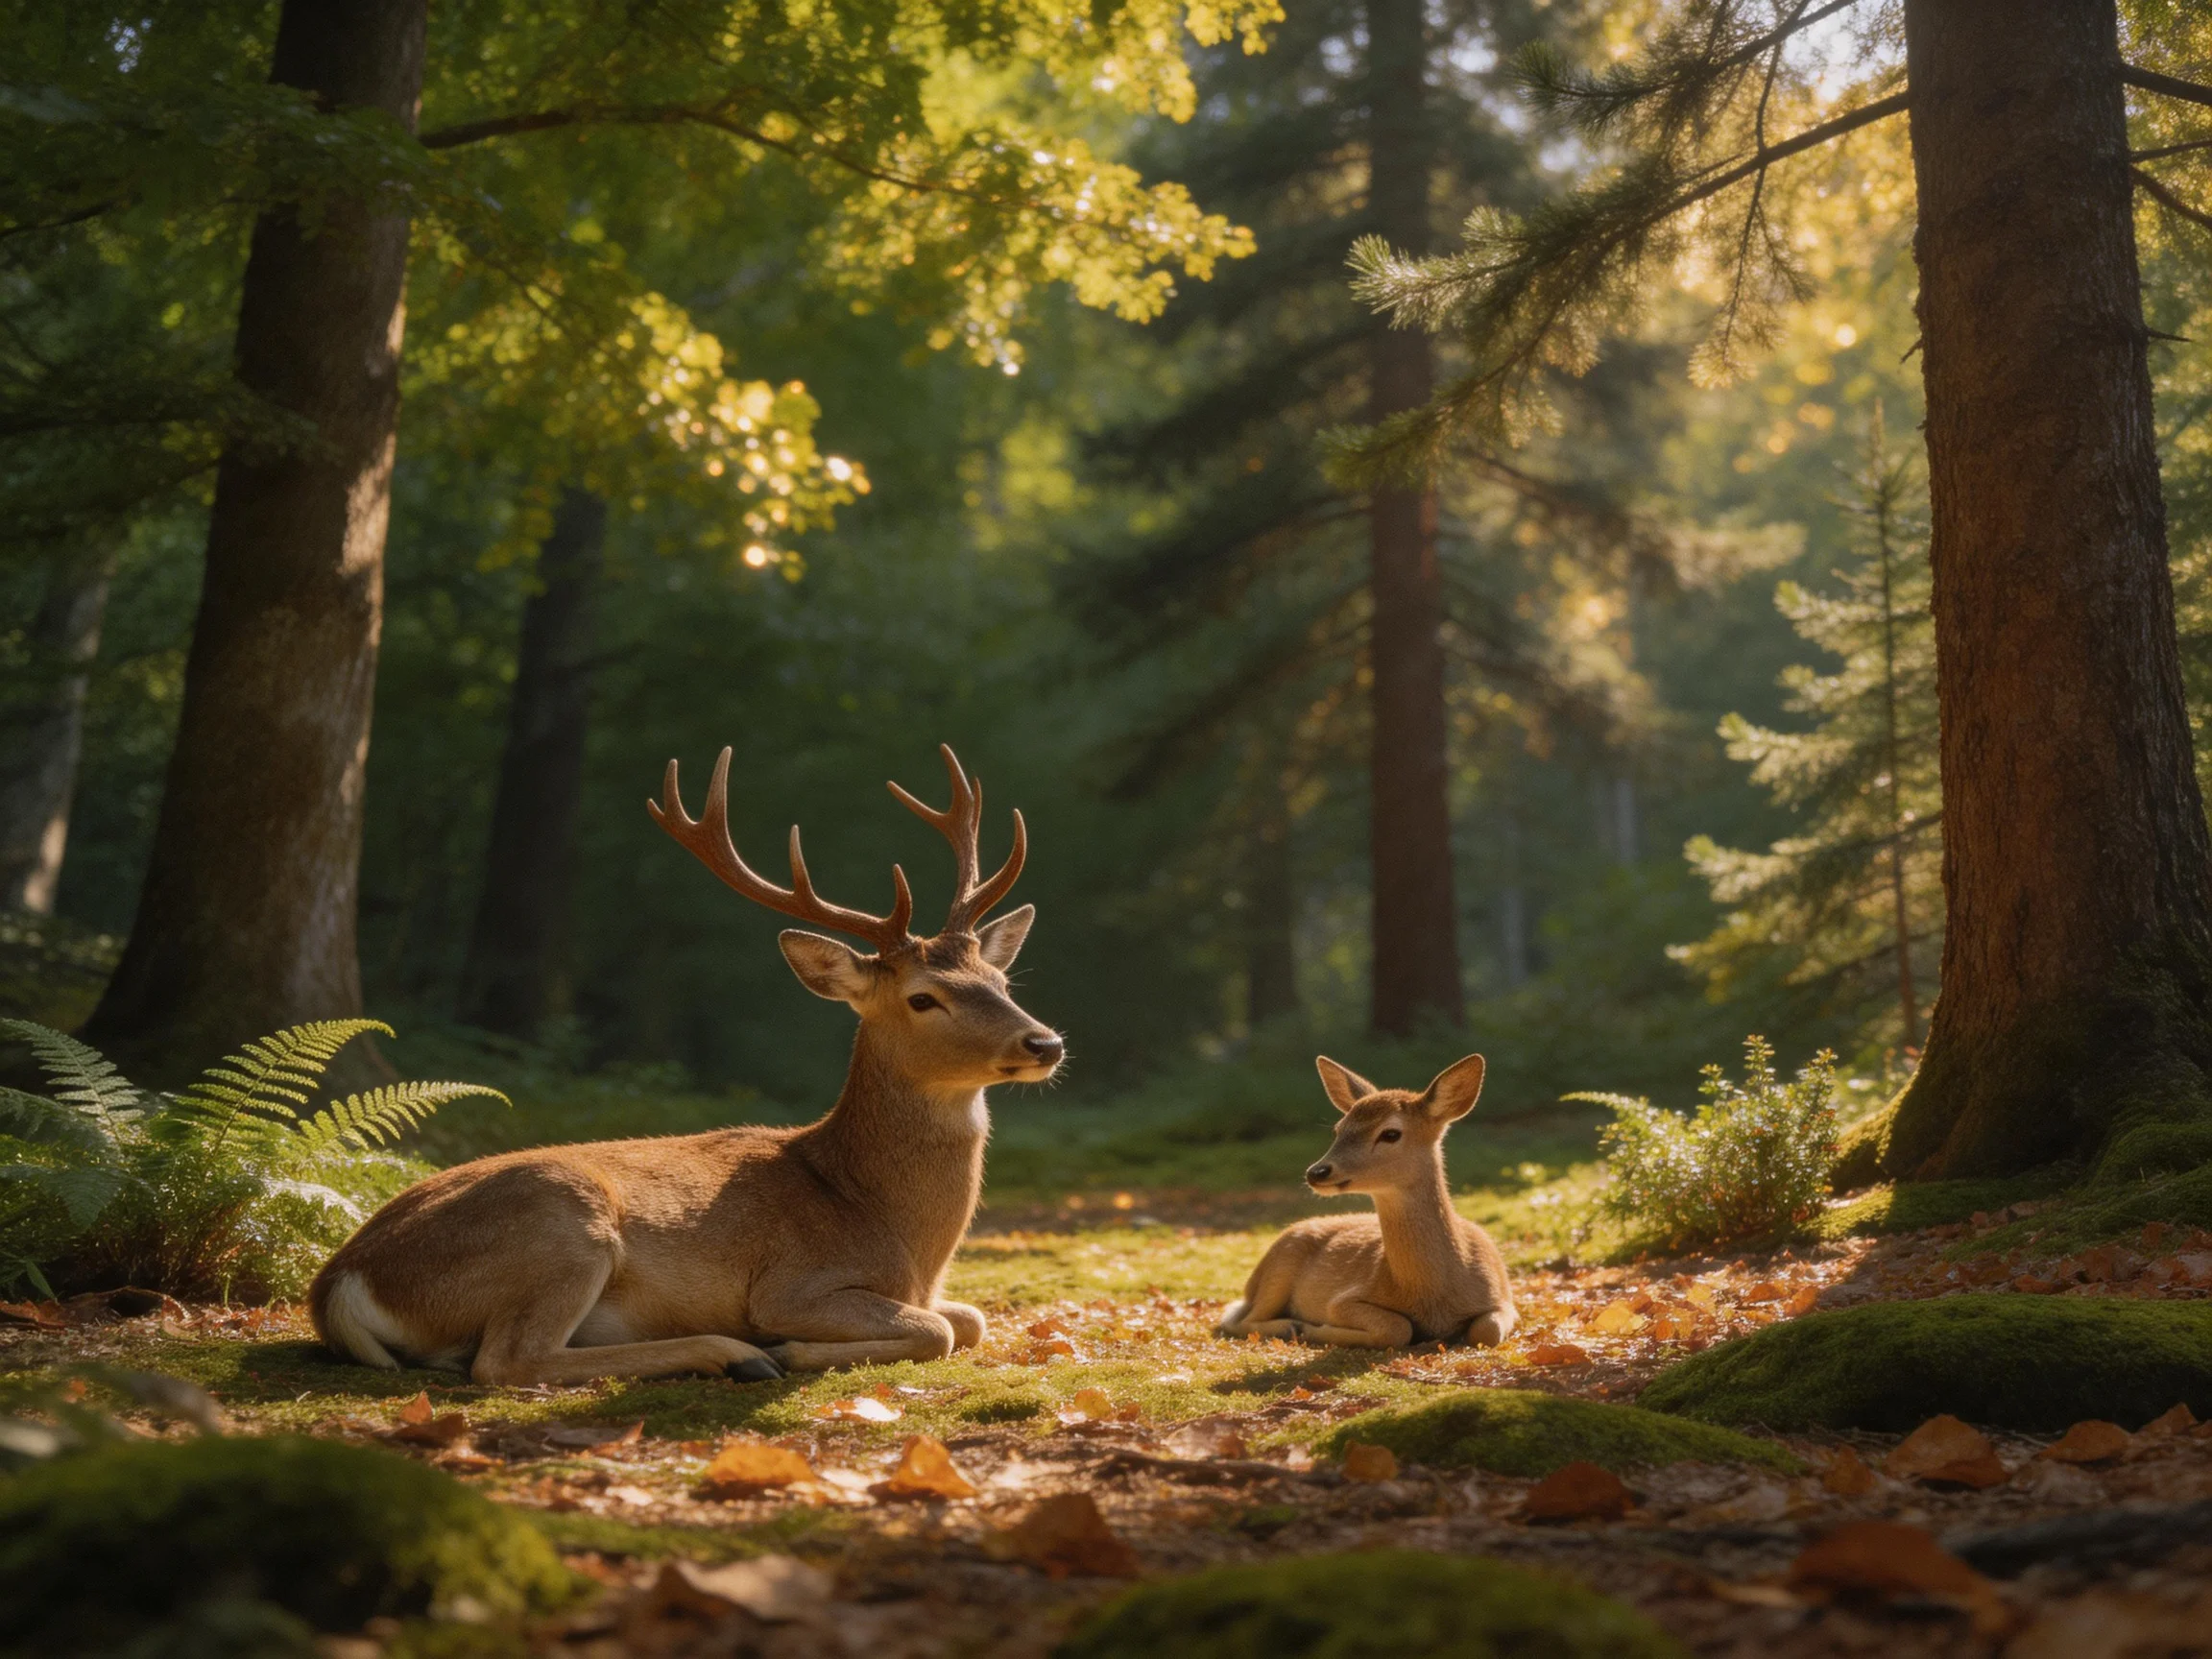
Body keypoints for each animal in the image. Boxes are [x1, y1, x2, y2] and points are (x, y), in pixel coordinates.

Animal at [309, 744, 1063, 1385]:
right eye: (923, 998)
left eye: (1001, 983)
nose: (1045, 1044)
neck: (897, 1235)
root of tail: (339, 1282)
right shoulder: (795, 1283)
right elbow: (942, 1329)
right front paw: (790, 1348)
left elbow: (970, 1318)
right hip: (563, 1225)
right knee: (507, 1360)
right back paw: (740, 1354)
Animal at [1215, 1054, 1516, 1350]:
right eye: (1338, 1129)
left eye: (1391, 1133)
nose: (1317, 1172)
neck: (1432, 1296)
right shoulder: (1341, 1300)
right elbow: (1397, 1328)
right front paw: (1316, 1329)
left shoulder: (1506, 1299)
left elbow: (1486, 1331)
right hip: (1276, 1272)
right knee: (1235, 1319)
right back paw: (1291, 1326)